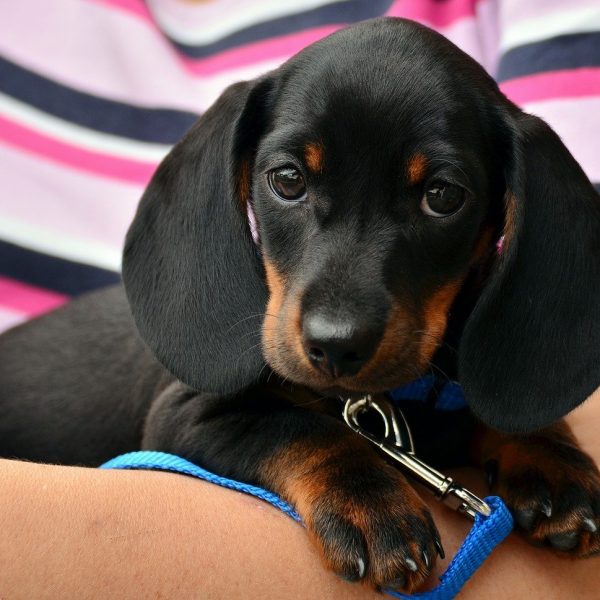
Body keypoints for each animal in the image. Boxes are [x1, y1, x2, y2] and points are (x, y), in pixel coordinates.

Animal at [1, 16, 600, 592]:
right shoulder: (183, 416)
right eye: (288, 179)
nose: (335, 347)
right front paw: (369, 501)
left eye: (443, 195)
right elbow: (301, 428)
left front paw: (550, 456)